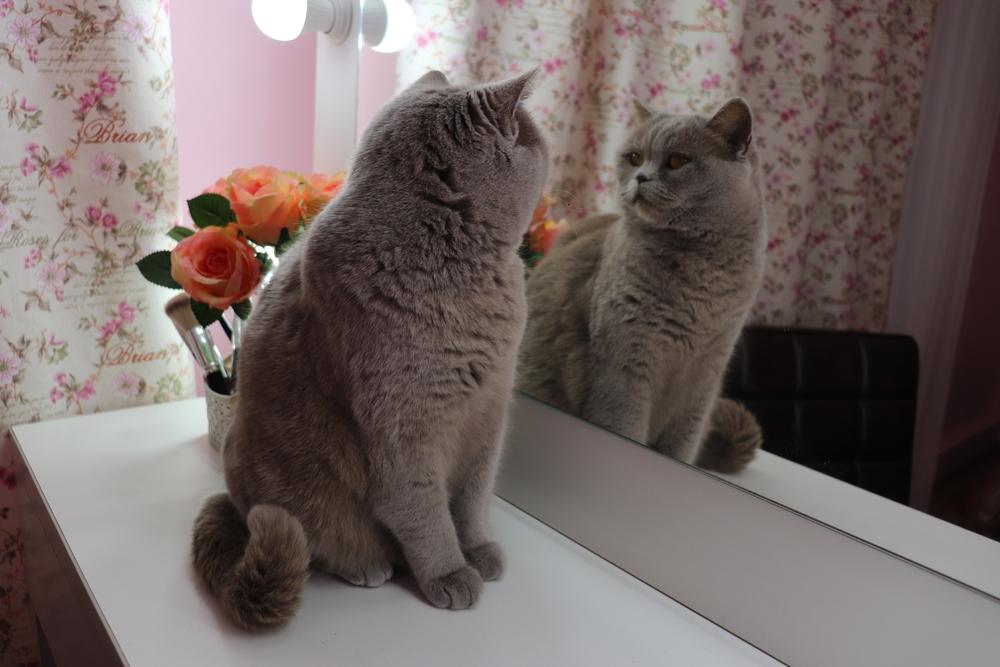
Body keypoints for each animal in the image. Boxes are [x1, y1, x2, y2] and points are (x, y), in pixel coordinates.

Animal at [193, 70, 548, 628]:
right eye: (530, 135)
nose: (543, 141)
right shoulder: (405, 427)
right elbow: (423, 512)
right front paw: (451, 573)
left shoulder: (491, 411)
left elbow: (473, 498)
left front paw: (479, 551)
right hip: (285, 490)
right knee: (319, 540)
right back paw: (368, 566)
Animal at [520, 99, 760, 474]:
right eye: (634, 157)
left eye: (677, 161)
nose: (641, 177)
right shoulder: (623, 367)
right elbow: (623, 429)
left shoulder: (705, 377)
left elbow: (682, 448)